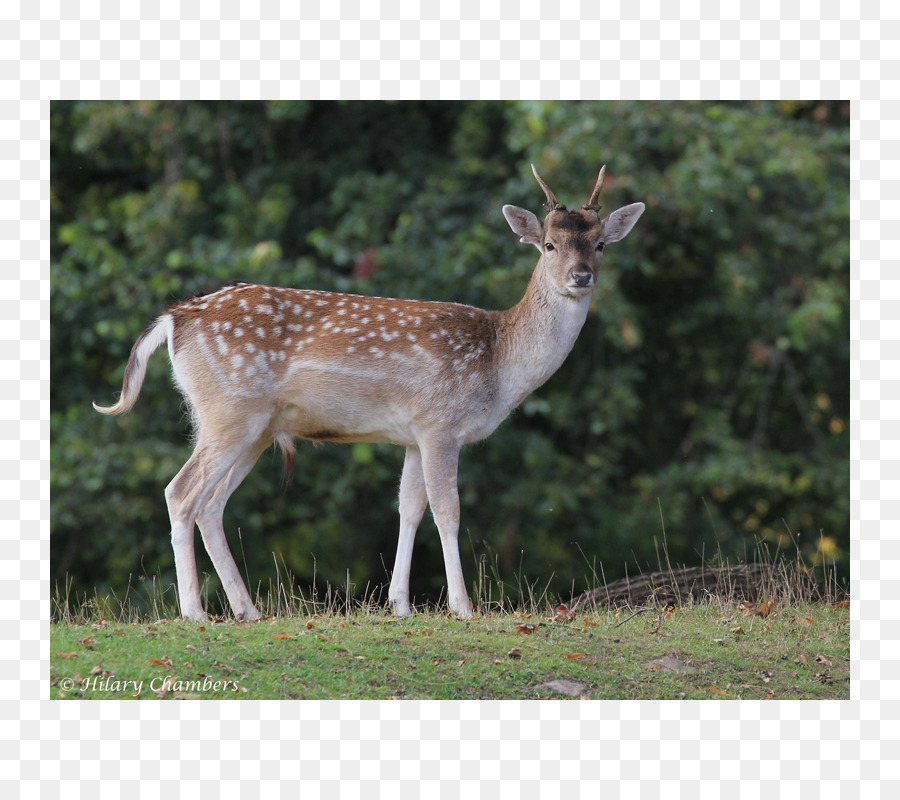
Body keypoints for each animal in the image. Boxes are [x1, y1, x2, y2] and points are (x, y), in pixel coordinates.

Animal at [91, 166, 644, 620]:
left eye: (600, 244)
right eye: (549, 245)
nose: (580, 276)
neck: (498, 363)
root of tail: (175, 319)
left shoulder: (412, 435)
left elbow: (408, 509)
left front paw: (399, 604)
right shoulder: (440, 423)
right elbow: (447, 510)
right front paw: (463, 606)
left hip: (255, 426)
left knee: (210, 504)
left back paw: (246, 609)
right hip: (229, 408)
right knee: (181, 491)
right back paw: (194, 612)